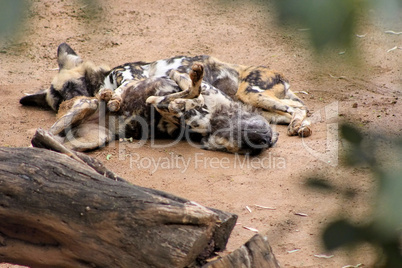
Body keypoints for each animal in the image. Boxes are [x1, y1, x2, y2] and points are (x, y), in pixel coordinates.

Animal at [19, 43, 310, 154]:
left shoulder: (130, 76)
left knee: (300, 108)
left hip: (250, 93)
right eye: (56, 101)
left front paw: (113, 97)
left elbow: (121, 89)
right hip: (260, 106)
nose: (67, 103)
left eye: (70, 86)